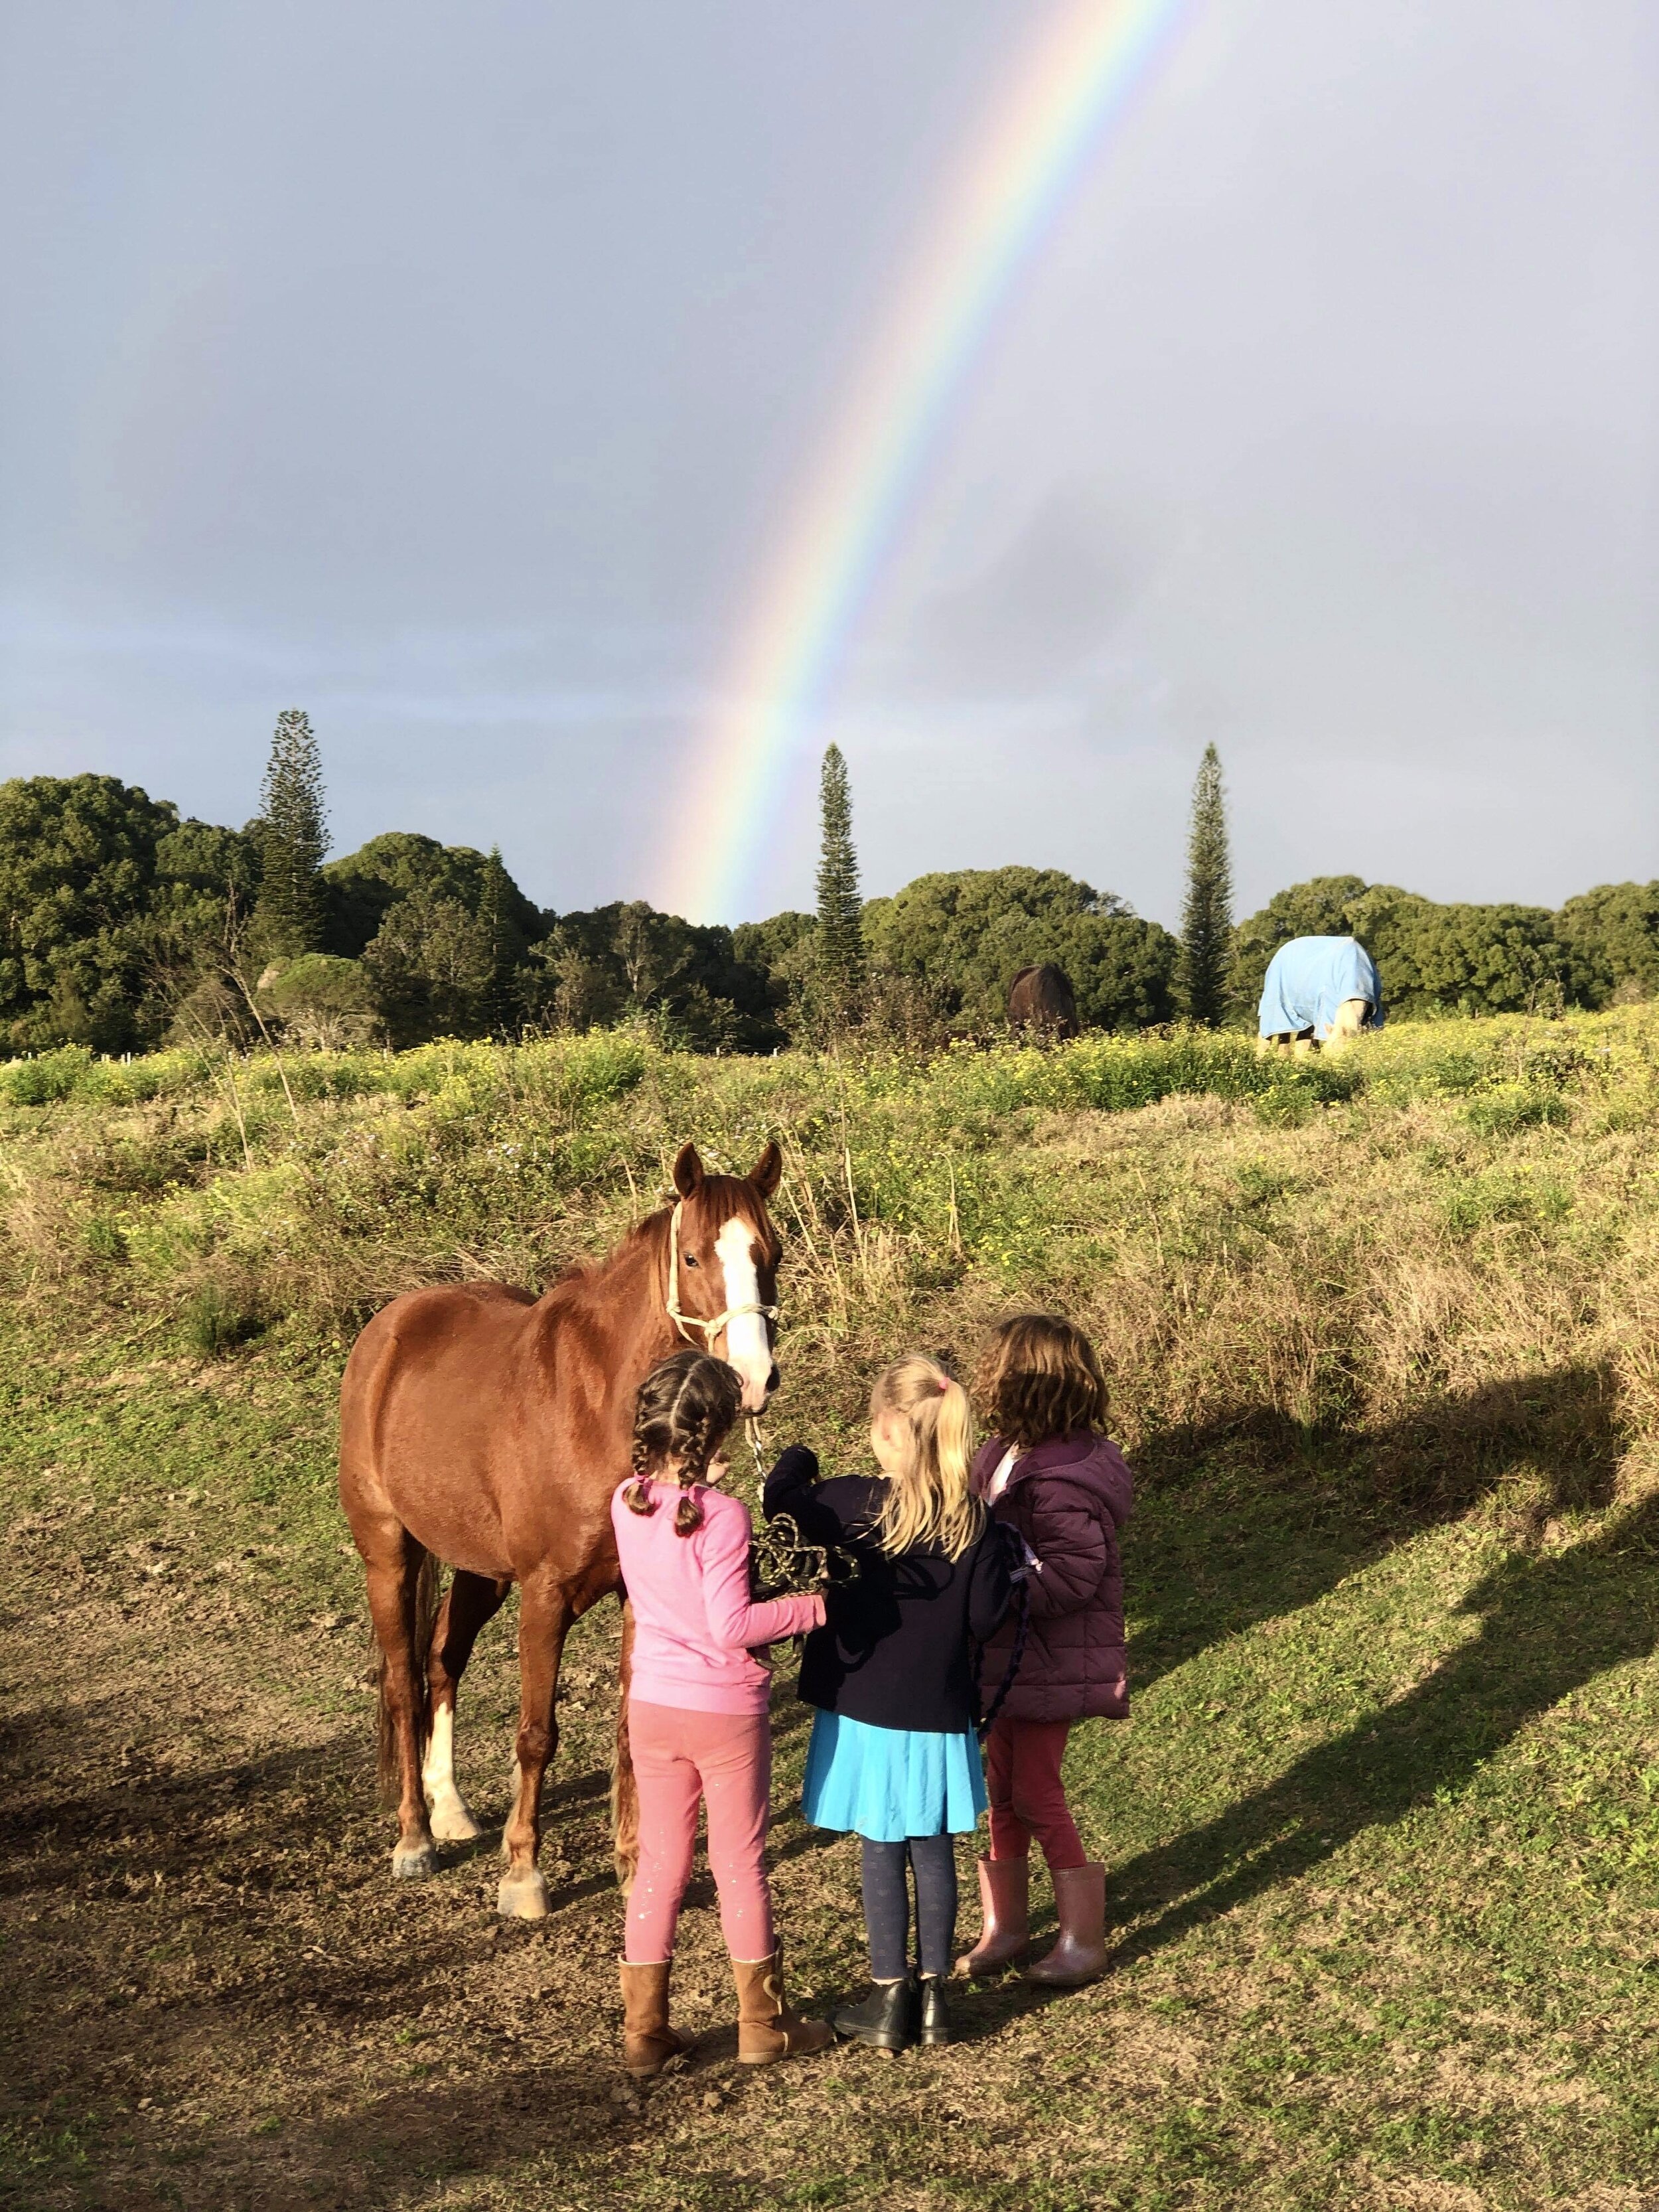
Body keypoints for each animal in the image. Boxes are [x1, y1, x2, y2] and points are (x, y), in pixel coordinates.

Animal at [340, 1141, 787, 1920]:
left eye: (774, 1253)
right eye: (694, 1256)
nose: (753, 1379)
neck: (599, 1412)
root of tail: (390, 1325)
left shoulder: (638, 1597)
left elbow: (634, 1729)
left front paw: (638, 1868)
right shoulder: (545, 1596)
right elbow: (536, 1734)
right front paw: (523, 1873)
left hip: (480, 1570)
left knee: (441, 1661)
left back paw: (450, 1807)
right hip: (389, 1555)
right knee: (402, 1683)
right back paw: (416, 1838)